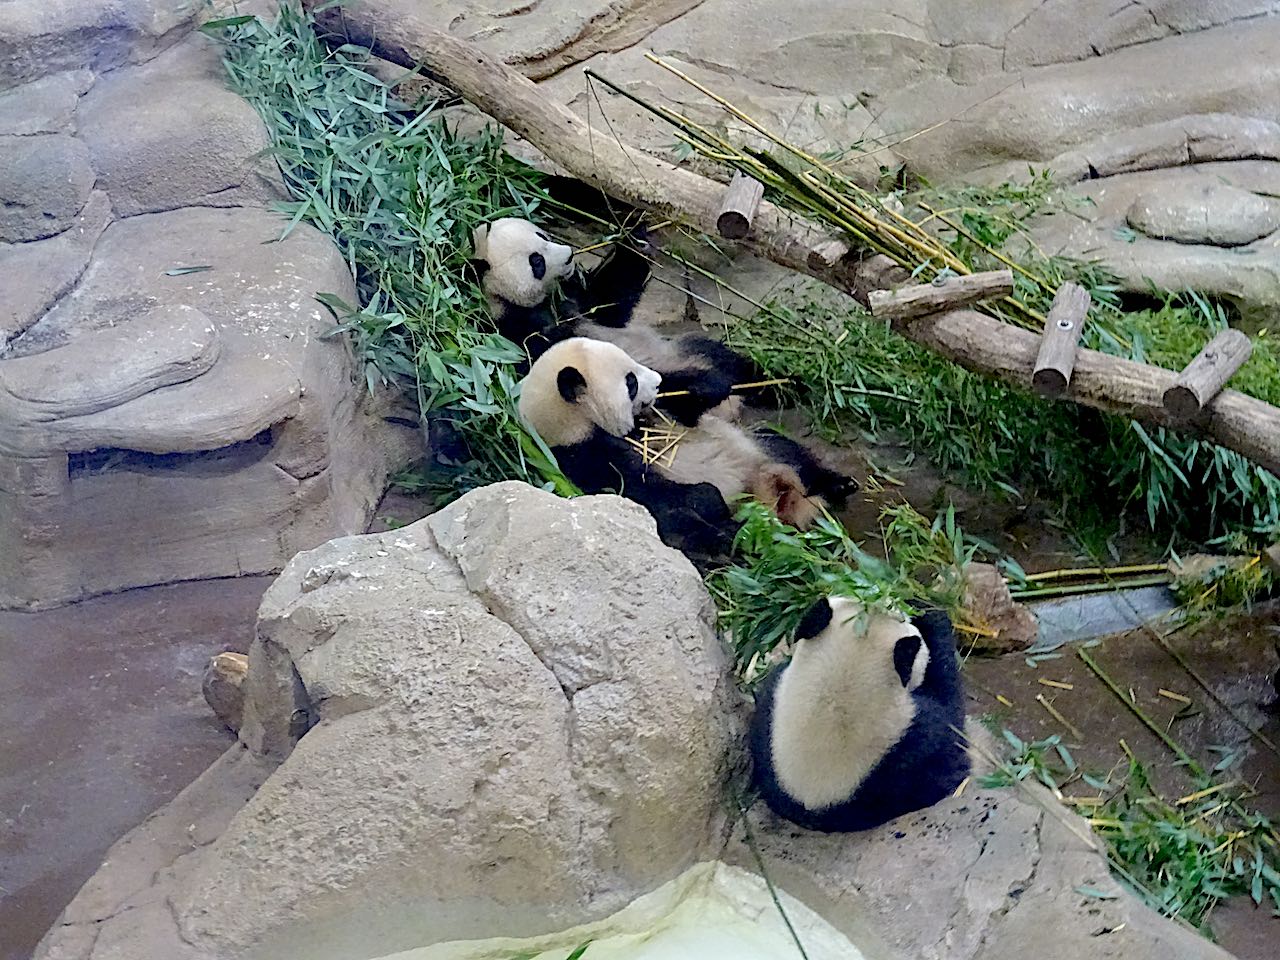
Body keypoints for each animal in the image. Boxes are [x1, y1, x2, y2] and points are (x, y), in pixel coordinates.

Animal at [514, 335, 855, 563]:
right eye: (630, 381)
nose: (655, 380)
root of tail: (774, 499)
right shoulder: (583, 456)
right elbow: (652, 495)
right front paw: (709, 499)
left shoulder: (664, 412)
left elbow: (688, 404)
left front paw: (706, 384)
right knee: (701, 535)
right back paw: (753, 538)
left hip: (757, 448)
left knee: (788, 452)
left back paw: (838, 485)